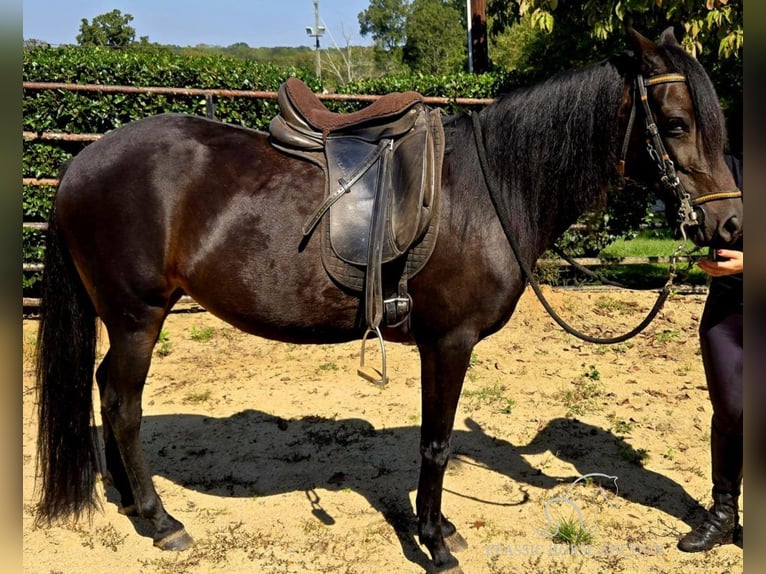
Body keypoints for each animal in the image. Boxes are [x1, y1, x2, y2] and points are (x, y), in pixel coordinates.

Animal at [36, 29, 744, 572]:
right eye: (676, 124)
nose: (732, 227)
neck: (490, 191)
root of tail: (81, 163)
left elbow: (437, 441)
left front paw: (440, 529)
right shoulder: (448, 343)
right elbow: (435, 443)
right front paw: (435, 542)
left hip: (125, 320)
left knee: (104, 390)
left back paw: (129, 500)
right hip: (138, 316)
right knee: (122, 404)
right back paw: (161, 520)